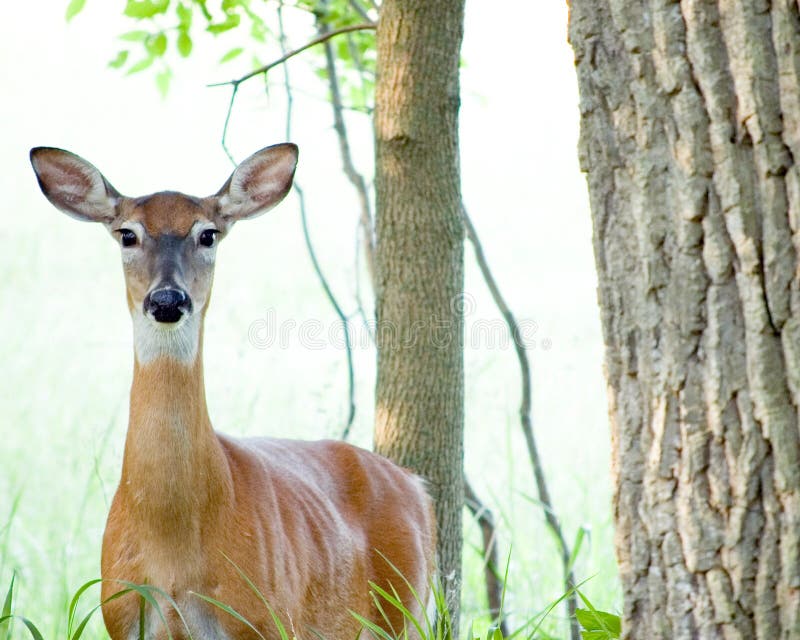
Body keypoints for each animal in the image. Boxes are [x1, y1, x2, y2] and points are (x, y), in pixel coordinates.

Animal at [29, 145, 438, 640]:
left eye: (208, 234)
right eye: (127, 234)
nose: (167, 300)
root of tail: (417, 487)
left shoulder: (266, 618)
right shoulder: (124, 617)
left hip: (406, 607)